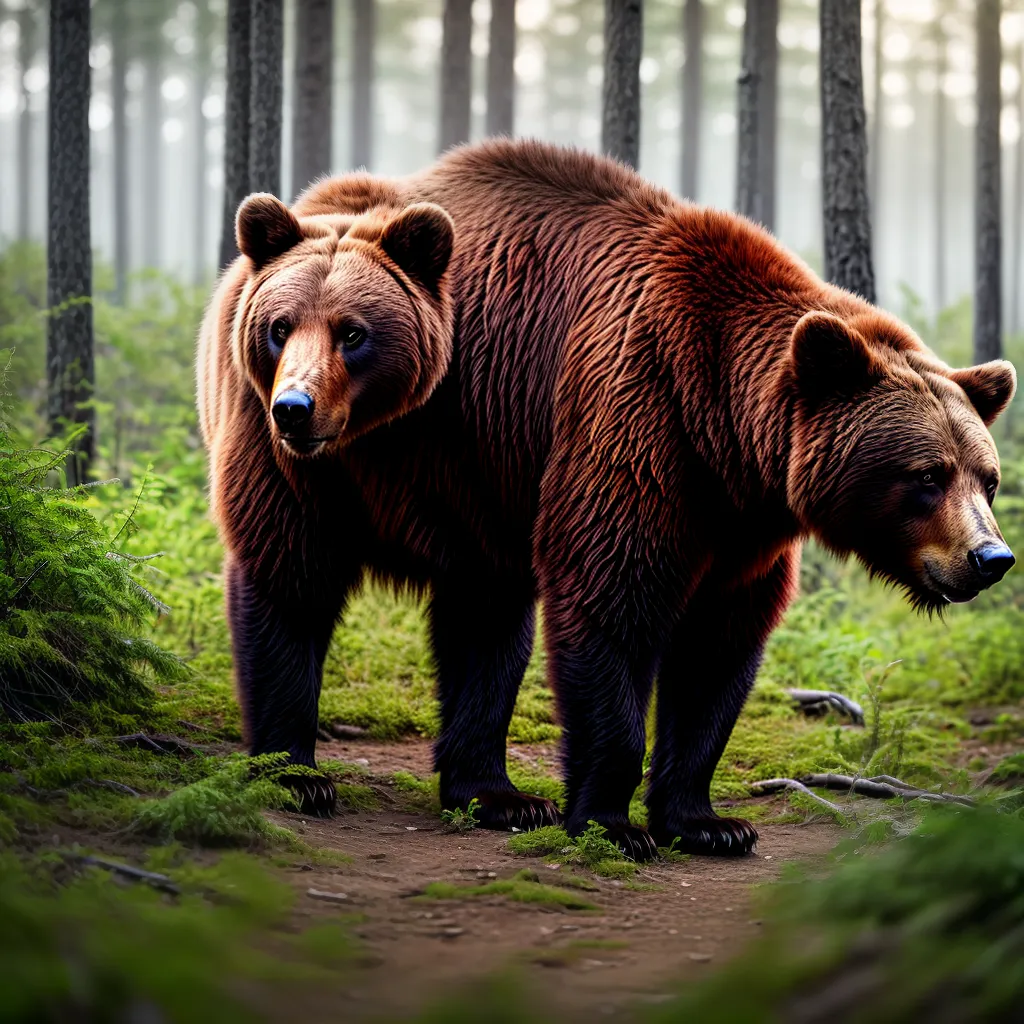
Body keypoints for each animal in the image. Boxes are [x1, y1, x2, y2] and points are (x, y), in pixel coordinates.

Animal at [201, 138, 1016, 861]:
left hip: (476, 481)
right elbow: (611, 602)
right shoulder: (635, 416)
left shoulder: (735, 525)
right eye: (926, 474)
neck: (726, 430)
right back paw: (296, 775)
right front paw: (612, 824)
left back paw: (494, 793)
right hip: (307, 454)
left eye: (986, 476)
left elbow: (718, 650)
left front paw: (708, 822)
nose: (991, 557)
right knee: (290, 575)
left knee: (485, 620)